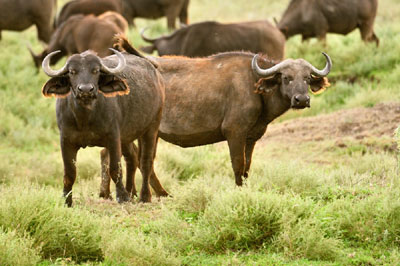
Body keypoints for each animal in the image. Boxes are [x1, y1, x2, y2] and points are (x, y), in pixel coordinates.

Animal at [39, 48, 167, 206]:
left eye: (95, 70)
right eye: (72, 71)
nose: (85, 90)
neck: (85, 118)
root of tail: (157, 76)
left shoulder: (113, 138)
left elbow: (115, 169)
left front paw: (122, 197)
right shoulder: (66, 141)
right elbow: (69, 173)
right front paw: (67, 201)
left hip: (151, 127)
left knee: (145, 162)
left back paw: (144, 196)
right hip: (127, 136)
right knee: (132, 159)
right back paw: (131, 193)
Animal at [98, 37, 332, 194]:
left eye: (307, 78)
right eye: (286, 78)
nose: (301, 100)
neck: (253, 83)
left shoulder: (252, 137)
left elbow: (247, 167)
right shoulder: (234, 132)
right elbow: (238, 164)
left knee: (114, 155)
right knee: (131, 158)